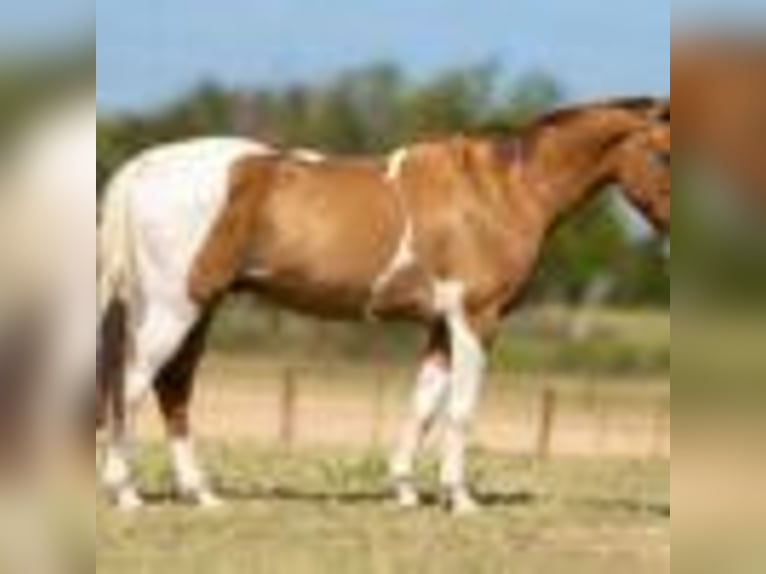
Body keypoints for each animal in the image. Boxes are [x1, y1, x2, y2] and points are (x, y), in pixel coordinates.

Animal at [98, 97, 669, 513]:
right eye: (664, 154)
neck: (501, 190)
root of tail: (147, 165)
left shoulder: (440, 326)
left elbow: (423, 406)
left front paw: (406, 490)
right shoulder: (475, 320)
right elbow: (460, 410)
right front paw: (461, 499)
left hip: (201, 308)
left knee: (174, 391)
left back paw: (202, 495)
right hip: (174, 308)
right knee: (131, 387)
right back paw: (126, 493)